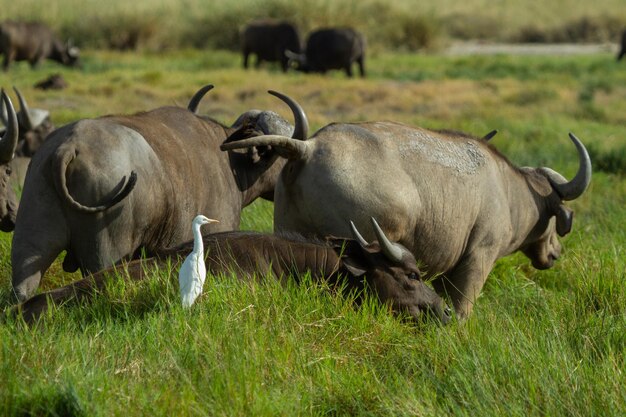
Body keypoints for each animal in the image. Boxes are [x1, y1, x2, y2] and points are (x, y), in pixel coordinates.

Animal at [223, 111, 588, 318]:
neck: (509, 191)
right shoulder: (478, 260)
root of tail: (307, 148)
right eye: (555, 220)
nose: (556, 252)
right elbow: (462, 309)